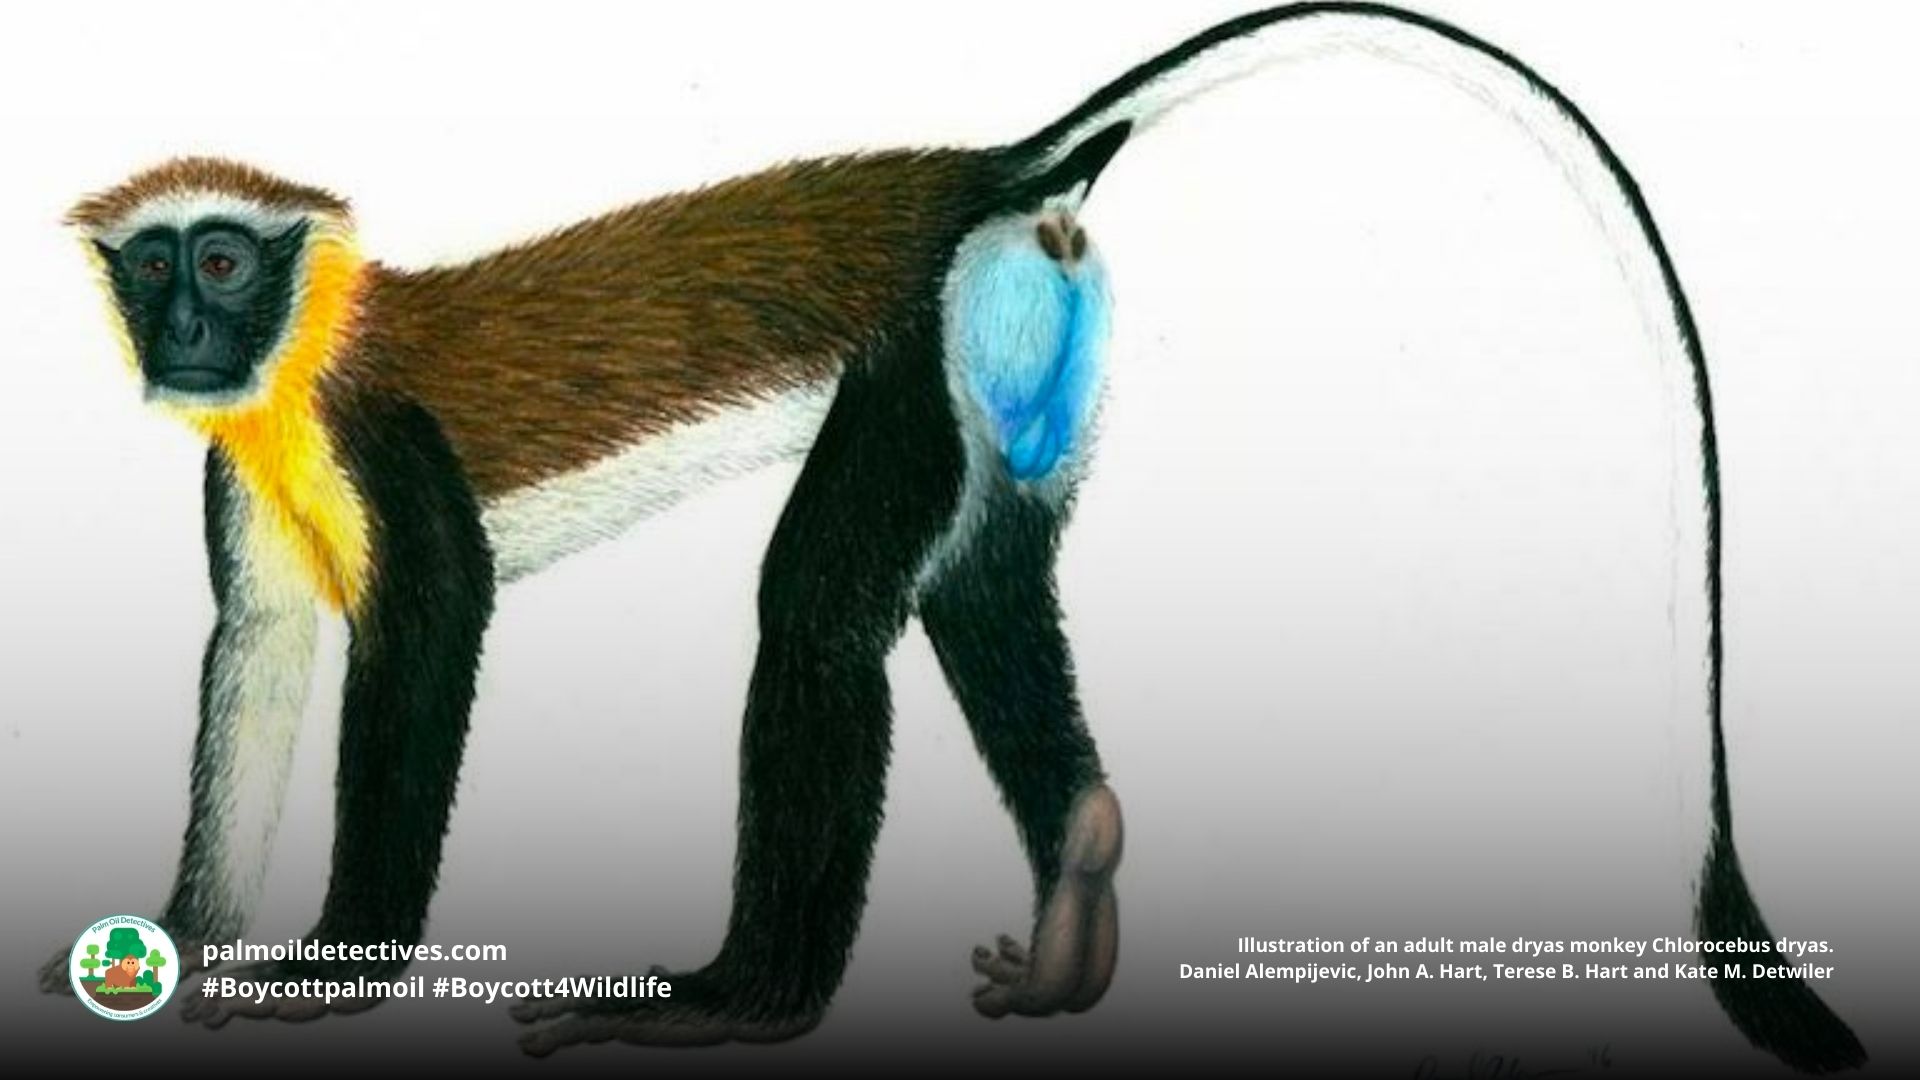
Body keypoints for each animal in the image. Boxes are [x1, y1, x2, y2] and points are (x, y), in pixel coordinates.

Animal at [35, 3, 1864, 1072]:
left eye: (222, 263)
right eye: (156, 267)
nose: (183, 335)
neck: (300, 363)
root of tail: (986, 175)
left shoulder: (380, 442)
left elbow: (435, 633)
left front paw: (335, 976)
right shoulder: (244, 481)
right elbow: (254, 657)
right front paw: (179, 944)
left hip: (915, 345)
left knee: (819, 613)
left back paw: (745, 1004)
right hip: (1010, 356)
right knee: (983, 579)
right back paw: (1078, 884)